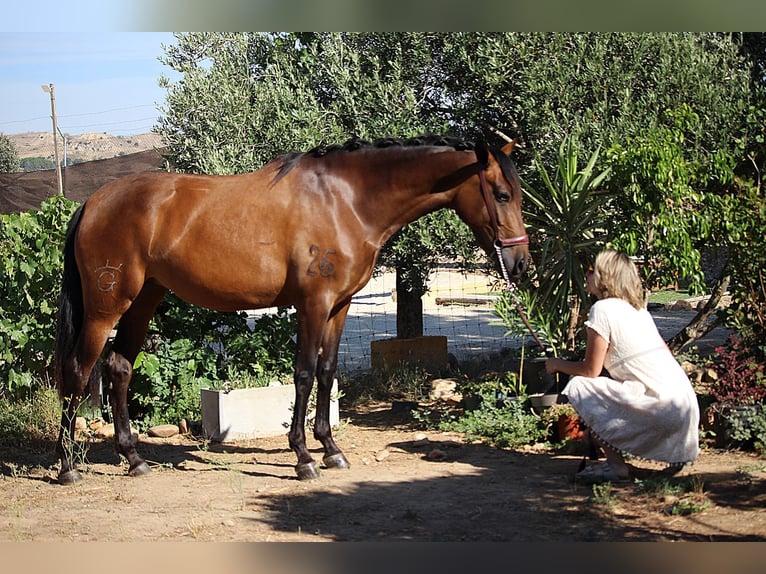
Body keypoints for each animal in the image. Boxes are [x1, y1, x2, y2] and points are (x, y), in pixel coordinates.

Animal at [52, 136, 528, 486]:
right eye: (502, 194)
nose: (521, 263)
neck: (346, 200)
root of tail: (93, 202)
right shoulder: (313, 305)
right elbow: (302, 374)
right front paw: (303, 457)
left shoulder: (339, 306)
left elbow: (327, 372)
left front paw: (331, 450)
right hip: (105, 309)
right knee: (77, 371)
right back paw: (68, 466)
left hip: (143, 301)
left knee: (118, 369)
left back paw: (133, 458)